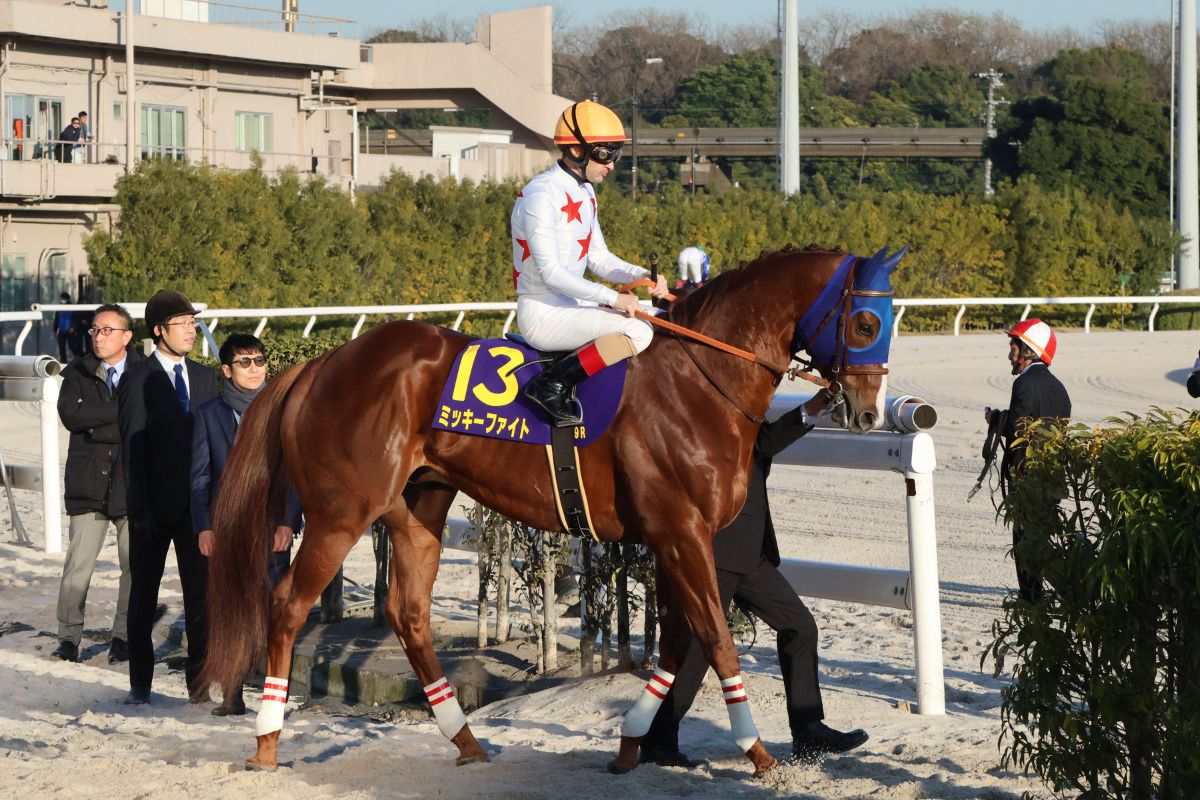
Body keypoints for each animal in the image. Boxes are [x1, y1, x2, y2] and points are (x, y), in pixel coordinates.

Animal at [201, 244, 905, 776]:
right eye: (866, 324)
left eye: (890, 322)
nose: (868, 412)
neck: (700, 379)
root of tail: (318, 365)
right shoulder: (683, 531)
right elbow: (716, 639)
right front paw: (756, 751)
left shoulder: (673, 537)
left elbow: (680, 642)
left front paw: (632, 742)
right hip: (341, 514)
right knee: (287, 603)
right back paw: (266, 741)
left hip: (419, 510)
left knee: (408, 613)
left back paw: (465, 739)